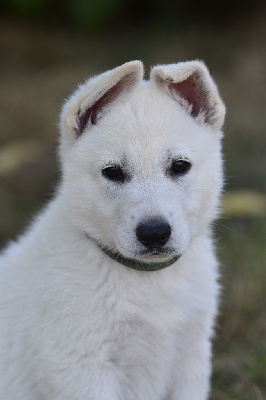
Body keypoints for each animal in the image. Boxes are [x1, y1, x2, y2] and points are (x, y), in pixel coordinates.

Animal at [0, 60, 225, 400]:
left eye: (180, 166)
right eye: (113, 172)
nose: (155, 233)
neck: (147, 279)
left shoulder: (192, 358)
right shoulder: (82, 365)